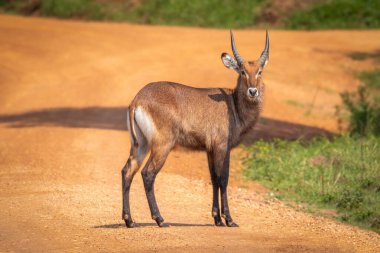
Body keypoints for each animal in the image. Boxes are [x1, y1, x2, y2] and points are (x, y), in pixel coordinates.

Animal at [122, 30, 270, 228]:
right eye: (242, 71)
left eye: (260, 71)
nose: (253, 91)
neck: (233, 105)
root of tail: (137, 99)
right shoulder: (222, 147)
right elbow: (223, 179)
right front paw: (229, 220)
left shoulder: (209, 149)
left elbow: (213, 178)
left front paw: (217, 219)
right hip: (162, 145)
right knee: (147, 173)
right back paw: (160, 219)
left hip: (140, 144)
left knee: (127, 171)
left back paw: (129, 220)